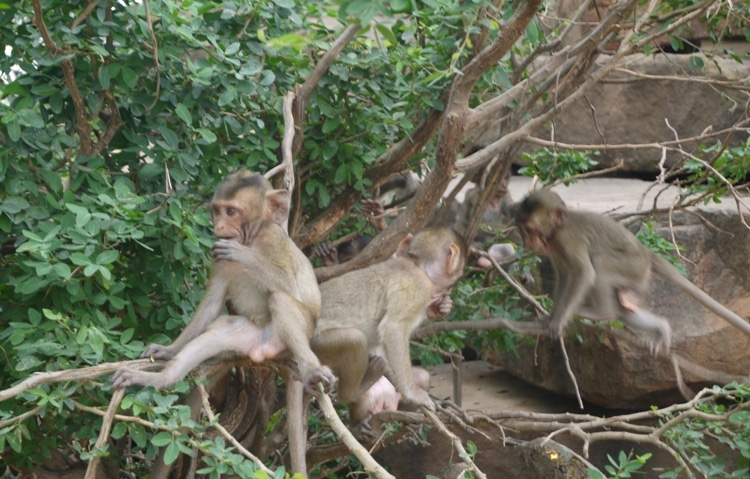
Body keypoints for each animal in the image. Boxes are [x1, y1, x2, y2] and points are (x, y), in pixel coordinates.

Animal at [111, 171, 334, 396]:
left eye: (231, 211)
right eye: (217, 211)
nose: (218, 226)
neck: (251, 239)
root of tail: (263, 350)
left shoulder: (274, 240)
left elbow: (290, 285)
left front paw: (242, 254)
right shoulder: (217, 258)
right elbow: (212, 304)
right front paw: (168, 350)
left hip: (302, 334)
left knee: (281, 299)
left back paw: (311, 370)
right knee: (217, 332)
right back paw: (158, 379)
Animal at [310, 227, 464, 434]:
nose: (446, 292)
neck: (415, 265)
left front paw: (441, 308)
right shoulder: (420, 286)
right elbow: (394, 328)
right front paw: (413, 394)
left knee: (420, 376)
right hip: (318, 345)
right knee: (355, 339)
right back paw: (355, 404)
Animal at [516, 189, 750, 354]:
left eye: (530, 230)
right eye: (522, 230)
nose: (527, 242)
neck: (556, 231)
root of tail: (646, 253)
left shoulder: (567, 240)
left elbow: (583, 273)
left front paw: (558, 321)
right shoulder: (554, 248)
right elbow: (564, 277)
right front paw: (551, 316)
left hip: (631, 265)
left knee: (600, 263)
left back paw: (601, 313)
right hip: (638, 276)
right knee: (624, 309)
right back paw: (662, 328)